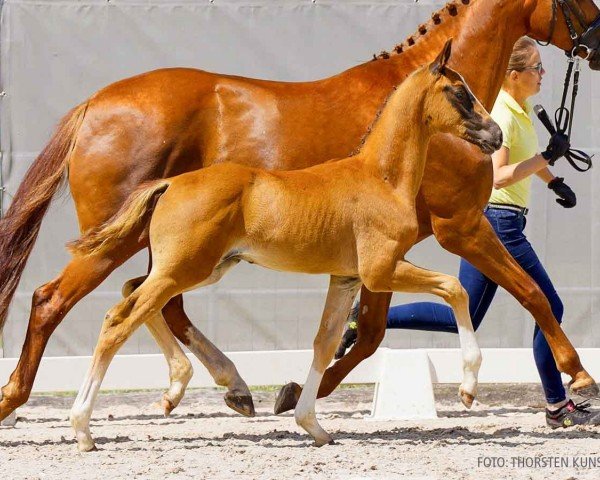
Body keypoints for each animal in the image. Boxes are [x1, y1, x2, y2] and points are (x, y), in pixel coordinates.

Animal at [68, 41, 502, 450]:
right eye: (459, 92)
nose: (496, 135)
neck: (380, 177)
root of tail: (171, 183)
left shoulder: (345, 278)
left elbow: (324, 343)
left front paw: (313, 426)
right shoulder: (381, 271)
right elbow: (454, 288)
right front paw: (468, 389)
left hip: (201, 269)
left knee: (133, 295)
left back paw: (181, 389)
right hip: (183, 270)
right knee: (120, 319)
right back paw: (84, 429)